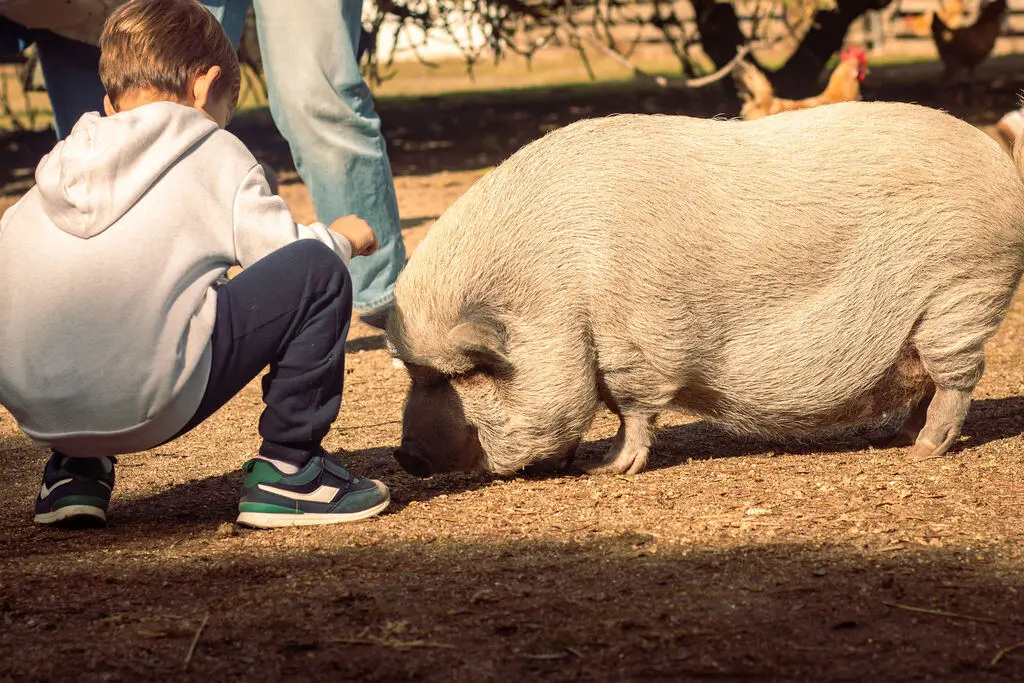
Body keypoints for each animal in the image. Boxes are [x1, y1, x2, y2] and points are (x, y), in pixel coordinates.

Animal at [387, 102, 1024, 477]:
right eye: (412, 372)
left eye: (466, 373)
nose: (405, 455)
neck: (559, 290)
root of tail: (1006, 170)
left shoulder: (635, 344)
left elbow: (632, 410)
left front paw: (606, 472)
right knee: (927, 380)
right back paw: (899, 438)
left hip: (962, 293)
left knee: (957, 380)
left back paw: (922, 450)